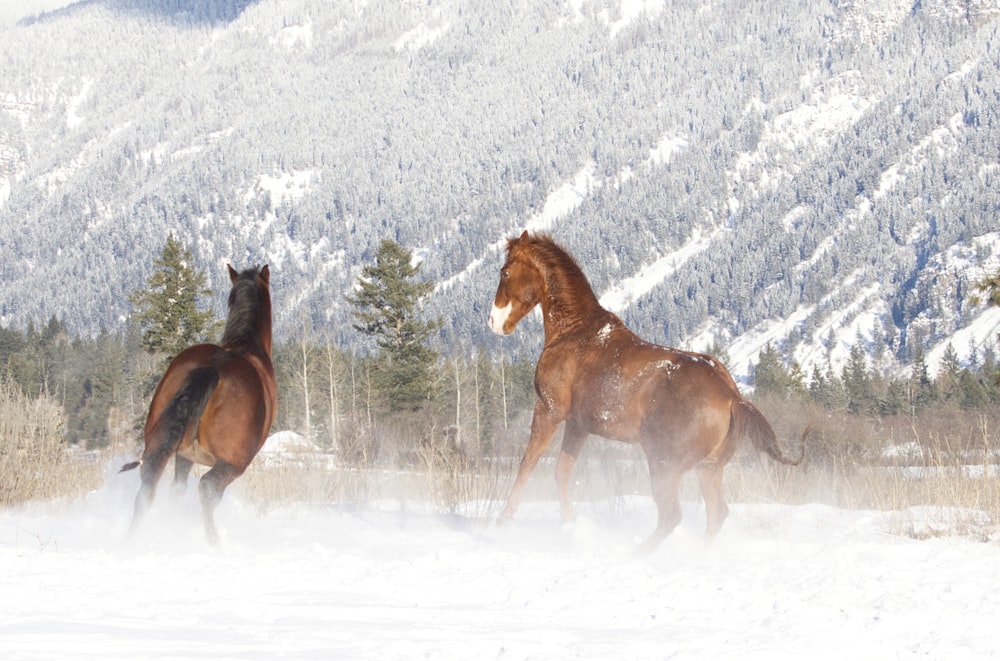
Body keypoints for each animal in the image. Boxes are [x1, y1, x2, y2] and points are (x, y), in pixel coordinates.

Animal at [121, 262, 278, 540]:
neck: (247, 345)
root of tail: (214, 368)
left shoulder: (184, 455)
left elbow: (177, 490)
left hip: (159, 446)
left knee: (147, 489)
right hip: (232, 465)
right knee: (207, 490)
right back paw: (213, 542)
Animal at [488, 232, 808, 552]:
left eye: (505, 272)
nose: (494, 322)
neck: (574, 333)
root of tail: (732, 398)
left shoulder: (550, 411)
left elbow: (528, 464)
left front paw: (504, 521)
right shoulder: (578, 425)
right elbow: (561, 471)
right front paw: (570, 524)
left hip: (665, 465)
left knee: (672, 515)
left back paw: (638, 552)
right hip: (708, 469)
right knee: (715, 514)